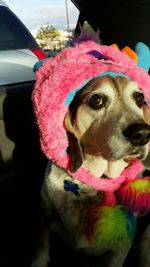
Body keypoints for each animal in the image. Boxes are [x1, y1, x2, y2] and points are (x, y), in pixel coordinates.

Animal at [31, 76, 150, 267]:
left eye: (139, 98)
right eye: (96, 100)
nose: (142, 133)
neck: (92, 182)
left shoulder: (122, 244)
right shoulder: (44, 213)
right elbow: (41, 246)